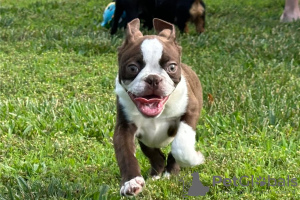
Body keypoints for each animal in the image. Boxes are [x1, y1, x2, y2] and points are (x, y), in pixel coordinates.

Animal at [113, 18, 205, 196]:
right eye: (132, 68)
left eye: (172, 67)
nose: (153, 79)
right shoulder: (124, 126)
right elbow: (125, 154)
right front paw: (131, 182)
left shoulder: (191, 111)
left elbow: (181, 146)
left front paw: (195, 158)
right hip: (146, 141)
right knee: (155, 154)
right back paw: (156, 174)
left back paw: (170, 173)